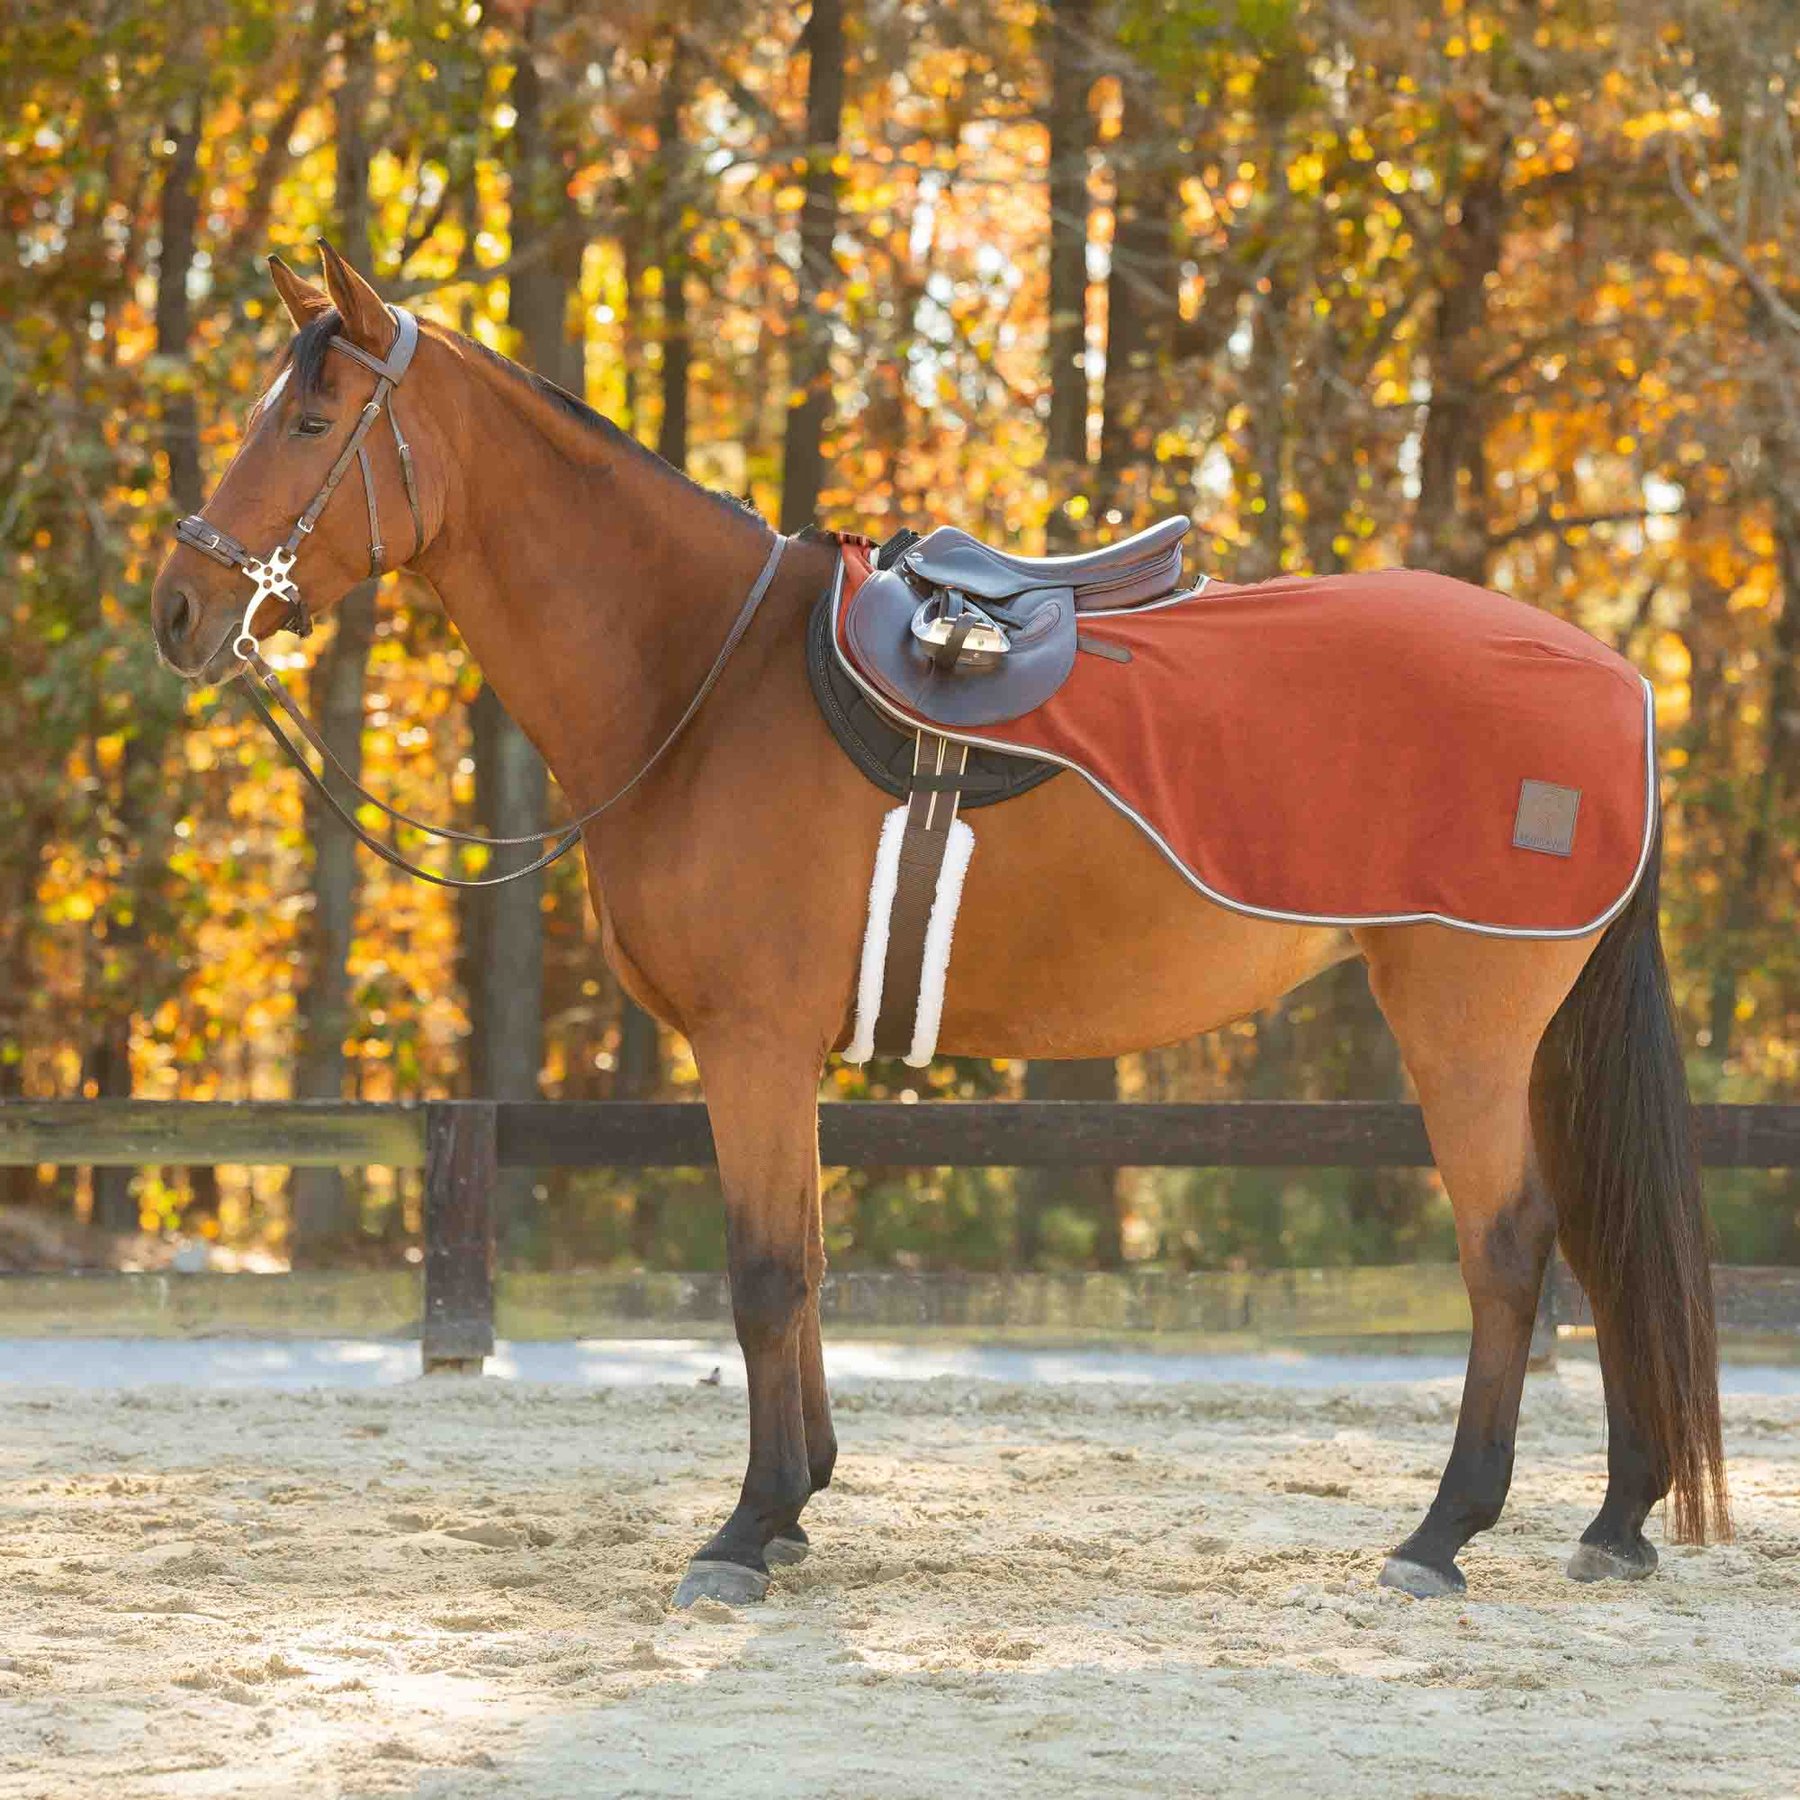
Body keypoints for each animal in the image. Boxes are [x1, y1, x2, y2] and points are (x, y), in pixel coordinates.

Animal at [150, 243, 1729, 1609]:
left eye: (309, 418)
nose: (177, 608)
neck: (702, 675)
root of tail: (1616, 680)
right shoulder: (785, 1055)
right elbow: (804, 1264)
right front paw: (796, 1504)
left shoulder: (750, 1045)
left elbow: (763, 1274)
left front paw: (744, 1528)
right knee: (1601, 1240)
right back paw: (1617, 1518)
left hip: (1466, 1029)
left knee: (1510, 1249)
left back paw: (1442, 1532)